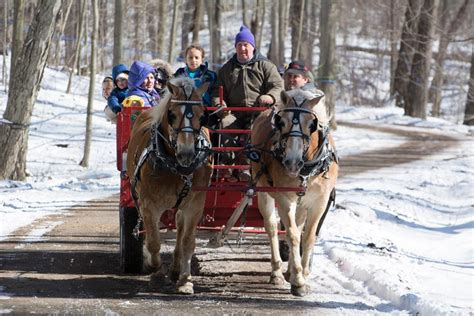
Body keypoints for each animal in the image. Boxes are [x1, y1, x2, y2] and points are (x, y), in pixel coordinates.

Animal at [128, 78, 213, 296]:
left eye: (202, 116)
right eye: (172, 114)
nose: (187, 153)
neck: (175, 167)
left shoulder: (195, 205)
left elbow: (188, 242)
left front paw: (185, 280)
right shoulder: (149, 205)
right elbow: (153, 242)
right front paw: (155, 271)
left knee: (179, 226)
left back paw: (175, 270)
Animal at [250, 89, 338, 296]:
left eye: (312, 124)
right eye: (281, 122)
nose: (292, 163)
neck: (307, 169)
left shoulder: (319, 202)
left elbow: (308, 236)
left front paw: (303, 273)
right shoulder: (284, 199)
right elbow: (292, 235)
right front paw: (298, 281)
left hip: (302, 203)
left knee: (298, 225)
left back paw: (289, 270)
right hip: (263, 192)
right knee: (272, 227)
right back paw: (277, 272)